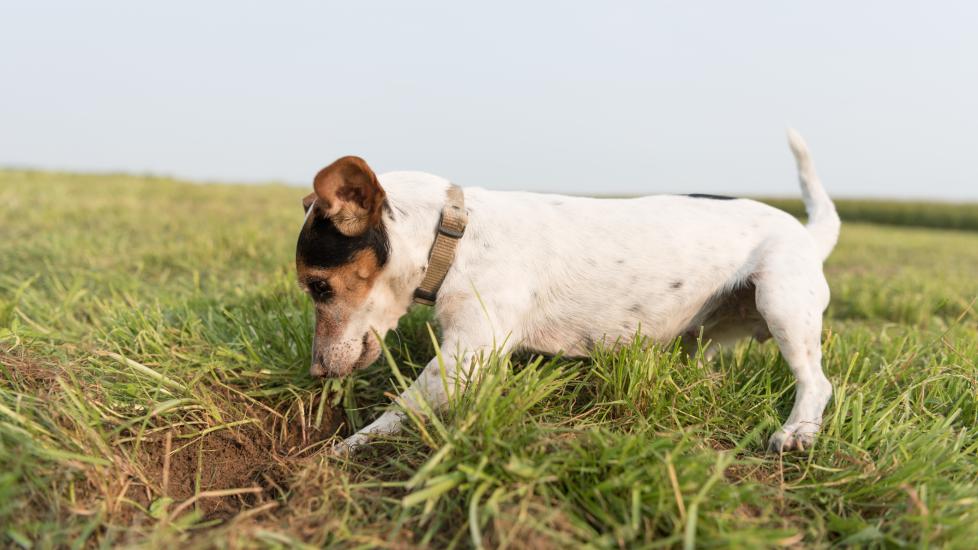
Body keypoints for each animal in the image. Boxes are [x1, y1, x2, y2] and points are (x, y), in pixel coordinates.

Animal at [296, 132, 840, 454]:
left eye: (319, 286)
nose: (317, 373)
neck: (453, 234)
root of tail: (808, 234)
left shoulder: (467, 354)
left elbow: (404, 406)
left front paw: (342, 450)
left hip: (782, 301)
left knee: (817, 382)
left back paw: (798, 431)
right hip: (704, 335)